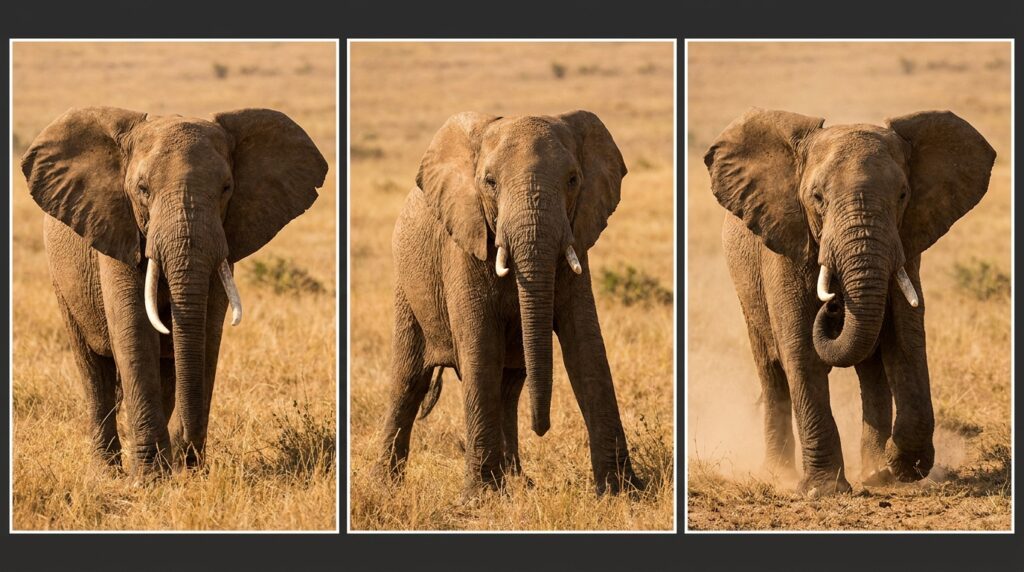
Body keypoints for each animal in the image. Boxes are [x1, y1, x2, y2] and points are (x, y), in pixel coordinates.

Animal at [21, 106, 328, 475]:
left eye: (227, 188)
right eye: (142, 189)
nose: (191, 458)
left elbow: (207, 331)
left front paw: (182, 471)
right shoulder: (118, 229)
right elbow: (135, 329)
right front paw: (149, 478)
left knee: (167, 369)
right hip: (62, 279)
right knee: (93, 370)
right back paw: (108, 471)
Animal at [380, 110, 644, 496]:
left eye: (573, 180)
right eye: (489, 182)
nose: (543, 429)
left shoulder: (577, 241)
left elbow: (587, 350)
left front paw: (622, 491)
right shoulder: (463, 244)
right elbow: (480, 350)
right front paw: (481, 497)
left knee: (509, 388)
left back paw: (519, 482)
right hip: (406, 285)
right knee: (408, 382)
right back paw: (384, 484)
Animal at [704, 108, 995, 495]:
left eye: (903, 194)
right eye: (817, 197)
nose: (833, 305)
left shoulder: (906, 243)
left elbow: (906, 341)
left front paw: (901, 468)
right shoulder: (783, 245)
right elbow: (801, 350)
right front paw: (824, 490)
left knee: (871, 372)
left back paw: (874, 472)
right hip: (745, 287)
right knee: (772, 369)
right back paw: (777, 474)